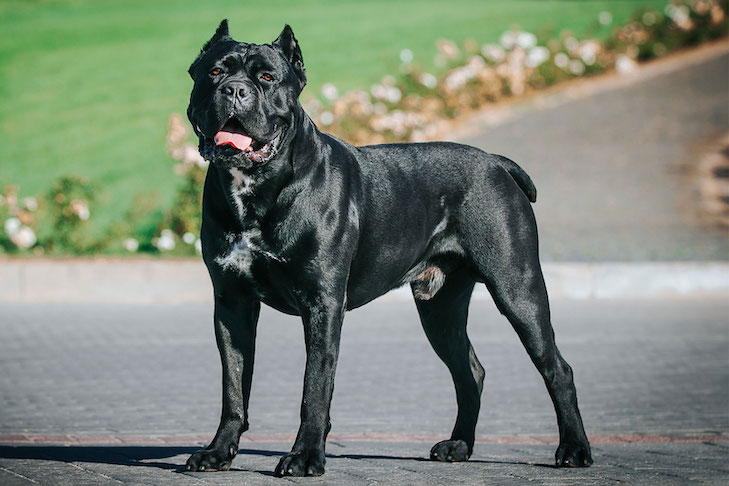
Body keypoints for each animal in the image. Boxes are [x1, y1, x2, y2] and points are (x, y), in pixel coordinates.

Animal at [183, 20, 592, 476]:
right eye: (214, 72)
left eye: (267, 78)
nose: (235, 90)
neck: (256, 187)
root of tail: (496, 162)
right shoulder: (232, 304)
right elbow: (234, 385)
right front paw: (219, 450)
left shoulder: (322, 305)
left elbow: (314, 386)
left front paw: (305, 456)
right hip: (440, 309)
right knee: (470, 372)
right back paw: (458, 445)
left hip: (517, 289)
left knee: (557, 368)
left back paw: (574, 449)